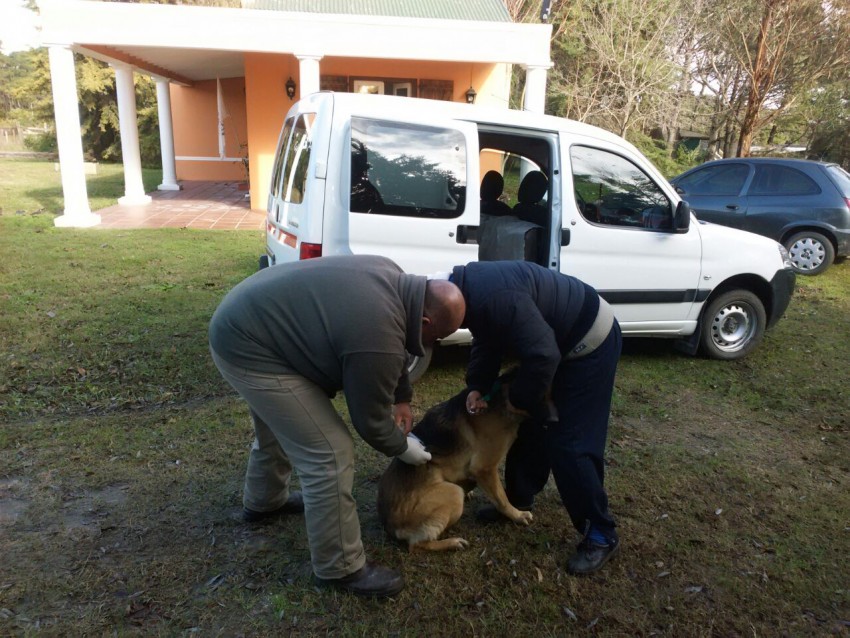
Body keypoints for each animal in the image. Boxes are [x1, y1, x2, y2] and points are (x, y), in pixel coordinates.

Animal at [376, 372, 528, 552]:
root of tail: (390, 526)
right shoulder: (485, 468)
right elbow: (502, 499)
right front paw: (517, 515)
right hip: (454, 494)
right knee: (416, 545)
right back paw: (452, 543)